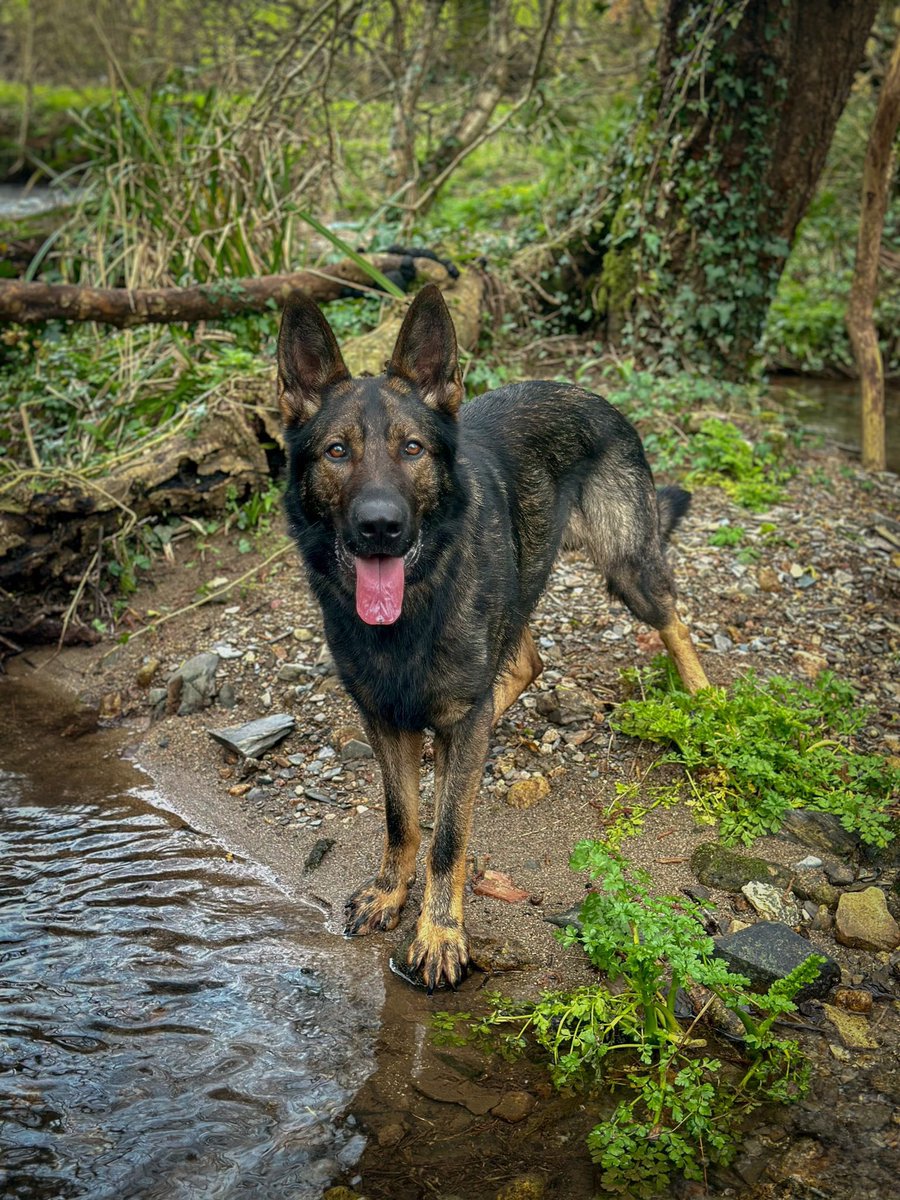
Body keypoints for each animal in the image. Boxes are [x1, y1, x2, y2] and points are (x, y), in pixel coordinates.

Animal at [278, 285, 710, 988]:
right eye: (337, 452)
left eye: (412, 449)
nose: (379, 527)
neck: (409, 613)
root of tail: (586, 391)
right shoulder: (383, 717)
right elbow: (403, 819)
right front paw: (392, 891)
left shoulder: (451, 713)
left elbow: (448, 835)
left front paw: (439, 932)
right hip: (521, 585)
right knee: (523, 663)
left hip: (627, 567)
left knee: (673, 618)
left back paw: (702, 698)